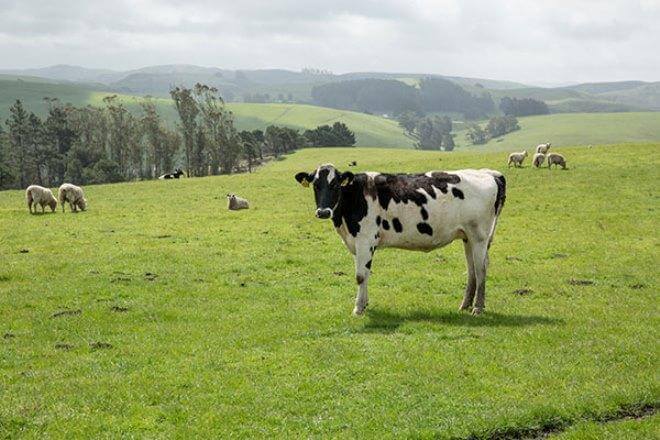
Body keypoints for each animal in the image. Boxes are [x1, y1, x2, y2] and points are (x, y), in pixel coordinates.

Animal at [296, 163, 508, 314]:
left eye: (334, 185)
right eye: (315, 185)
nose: (323, 212)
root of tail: (488, 173)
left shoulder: (365, 240)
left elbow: (360, 275)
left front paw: (358, 308)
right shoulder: (356, 243)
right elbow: (364, 274)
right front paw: (364, 304)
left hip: (479, 236)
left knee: (481, 269)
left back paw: (477, 308)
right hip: (468, 237)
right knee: (471, 269)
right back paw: (465, 305)